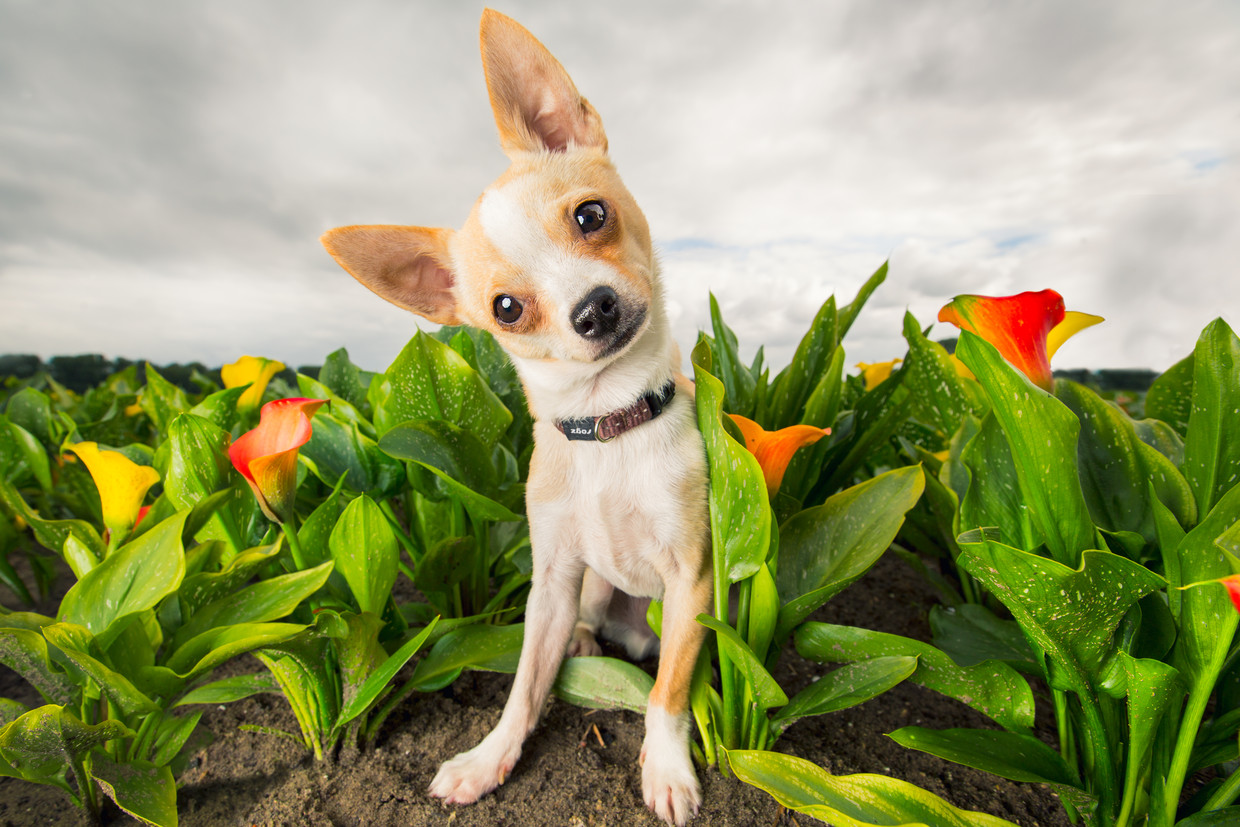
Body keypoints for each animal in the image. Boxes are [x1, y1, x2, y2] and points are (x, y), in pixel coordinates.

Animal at [319, 9, 709, 823]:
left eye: (592, 215)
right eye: (505, 308)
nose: (594, 308)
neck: (607, 426)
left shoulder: (695, 580)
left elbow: (668, 692)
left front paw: (666, 768)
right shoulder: (552, 582)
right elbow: (524, 685)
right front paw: (489, 758)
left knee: (657, 665)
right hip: (590, 587)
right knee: (588, 625)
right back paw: (586, 647)